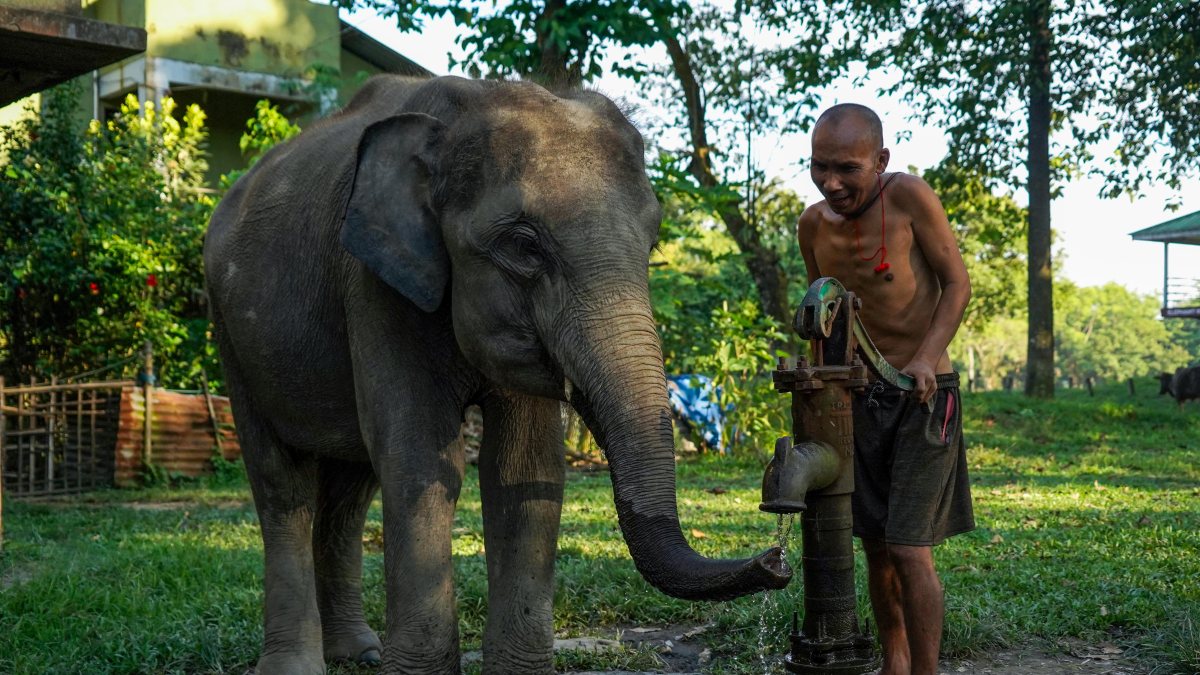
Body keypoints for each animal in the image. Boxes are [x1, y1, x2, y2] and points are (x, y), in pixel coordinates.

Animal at [203, 74, 790, 674]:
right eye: (524, 246)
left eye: (651, 244)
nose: (777, 559)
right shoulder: (372, 285)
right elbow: (419, 455)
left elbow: (524, 466)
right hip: (228, 328)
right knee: (282, 483)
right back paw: (296, 664)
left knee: (349, 491)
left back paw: (360, 652)